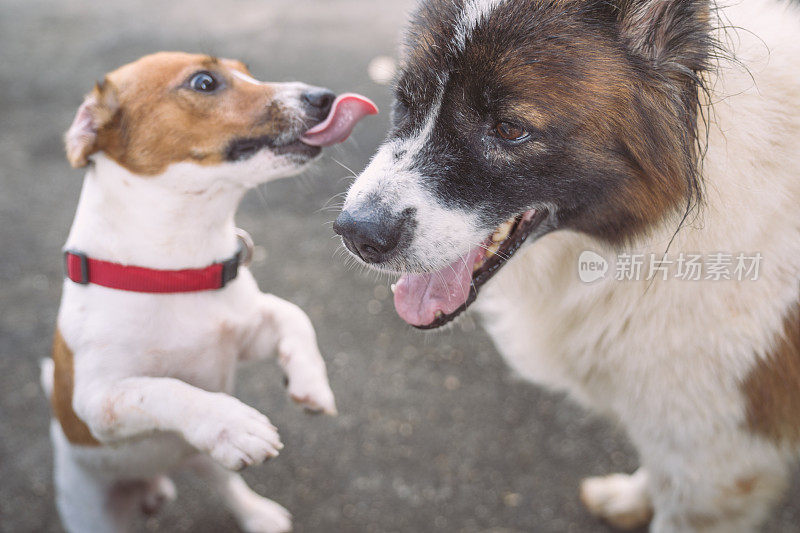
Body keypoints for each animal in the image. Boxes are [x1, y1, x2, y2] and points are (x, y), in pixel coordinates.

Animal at [43, 51, 378, 532]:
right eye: (205, 82)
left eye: (248, 70)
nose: (325, 97)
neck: (178, 270)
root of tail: (155, 477)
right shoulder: (99, 402)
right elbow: (165, 390)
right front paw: (232, 423)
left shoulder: (248, 334)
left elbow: (293, 314)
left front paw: (311, 383)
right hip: (93, 509)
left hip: (206, 461)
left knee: (227, 485)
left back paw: (259, 514)